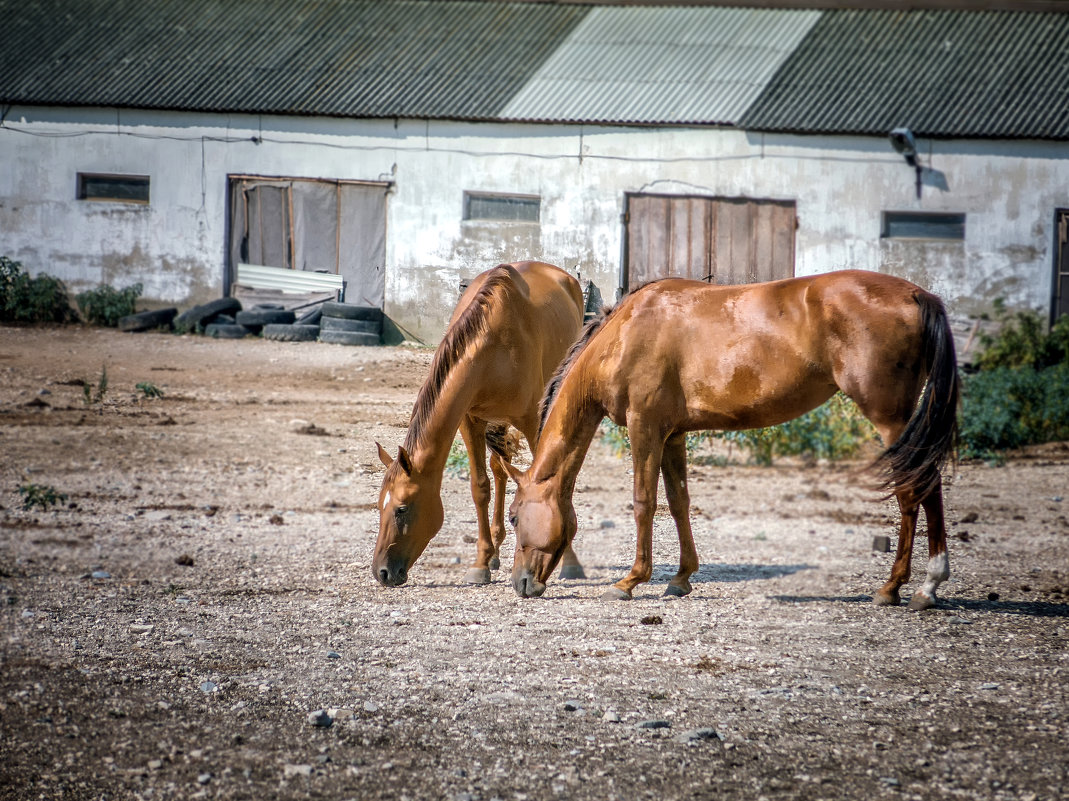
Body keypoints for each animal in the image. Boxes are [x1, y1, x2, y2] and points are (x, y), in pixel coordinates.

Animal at [367, 262, 585, 586]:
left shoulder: (533, 422)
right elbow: (480, 487)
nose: (381, 571)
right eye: (380, 504)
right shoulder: (469, 421)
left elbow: (550, 486)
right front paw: (481, 563)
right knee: (499, 469)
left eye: (401, 509)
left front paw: (569, 562)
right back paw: (495, 551)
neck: (492, 346)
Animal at [500, 271, 962, 607]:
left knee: (913, 488)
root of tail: (918, 295)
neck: (625, 332)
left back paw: (901, 587)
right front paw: (681, 578)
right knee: (927, 486)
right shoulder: (672, 435)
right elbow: (679, 503)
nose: (521, 583)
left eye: (513, 516)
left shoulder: (644, 427)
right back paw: (926, 586)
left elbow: (644, 502)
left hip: (890, 420)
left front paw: (630, 580)